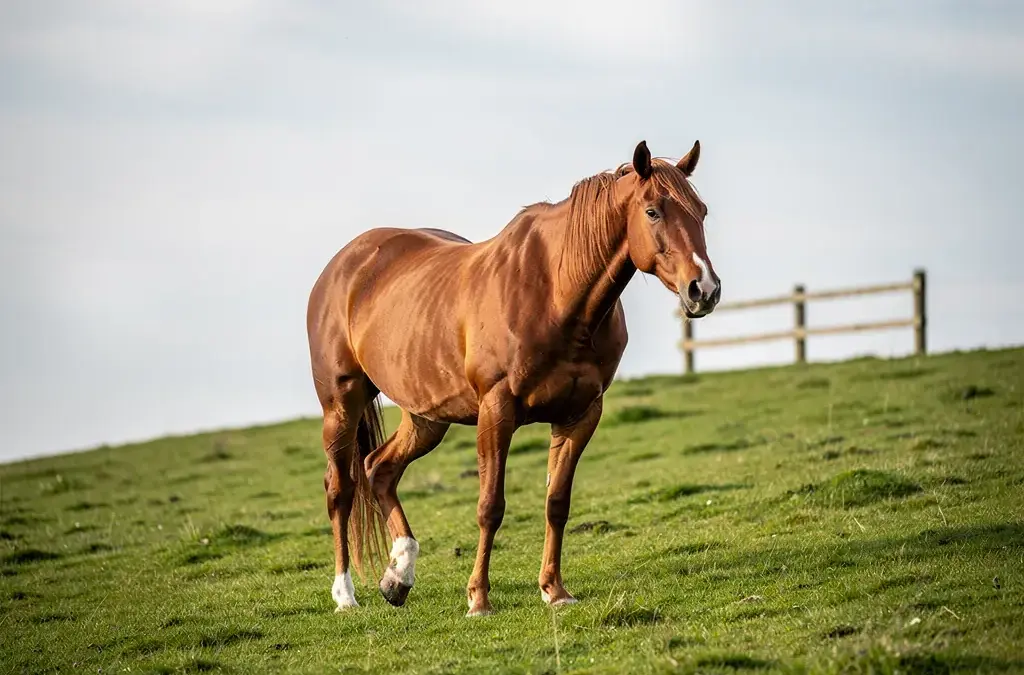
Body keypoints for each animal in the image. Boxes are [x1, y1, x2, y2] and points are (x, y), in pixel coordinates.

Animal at [305, 139, 721, 616]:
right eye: (652, 211)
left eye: (702, 211)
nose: (704, 290)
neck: (556, 293)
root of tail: (345, 264)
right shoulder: (497, 410)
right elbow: (491, 506)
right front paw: (479, 598)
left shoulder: (581, 414)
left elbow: (557, 503)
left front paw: (554, 590)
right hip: (342, 402)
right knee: (341, 488)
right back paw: (345, 594)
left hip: (426, 416)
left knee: (380, 469)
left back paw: (399, 575)